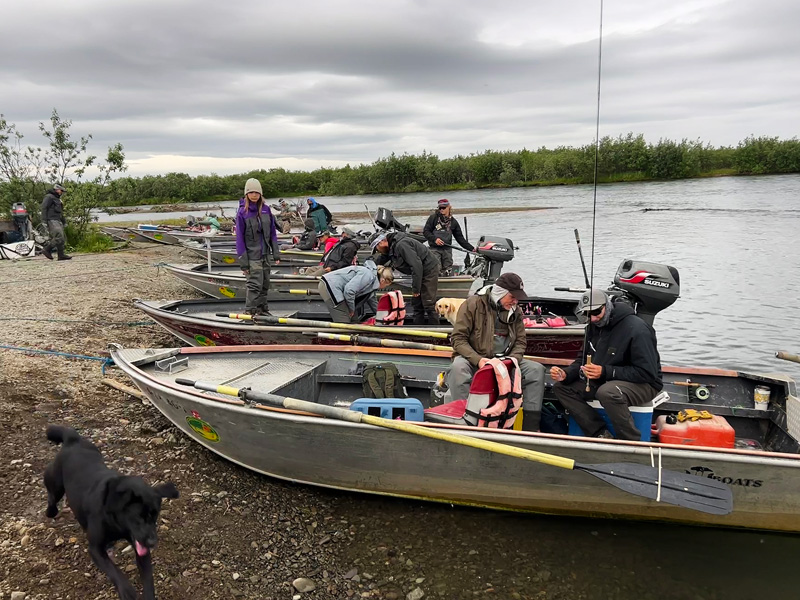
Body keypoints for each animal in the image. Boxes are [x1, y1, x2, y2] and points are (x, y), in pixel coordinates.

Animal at [46, 424, 180, 596]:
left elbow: (148, 577)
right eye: (139, 517)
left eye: (154, 517)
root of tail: (73, 440)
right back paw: (50, 512)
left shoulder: (140, 546)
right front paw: (128, 592)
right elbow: (114, 571)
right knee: (51, 497)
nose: (152, 542)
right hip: (56, 483)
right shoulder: (96, 549)